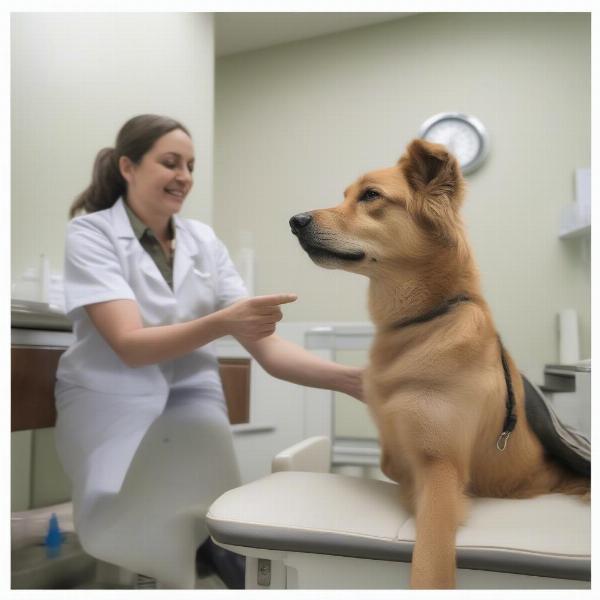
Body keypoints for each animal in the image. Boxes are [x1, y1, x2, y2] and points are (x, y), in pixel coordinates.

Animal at [290, 139, 592, 592]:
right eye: (345, 195)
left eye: (370, 196)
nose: (294, 221)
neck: (422, 323)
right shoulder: (397, 449)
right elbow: (389, 464)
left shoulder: (440, 472)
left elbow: (429, 566)